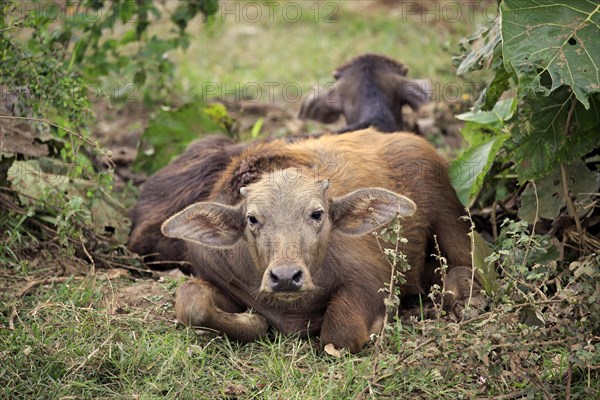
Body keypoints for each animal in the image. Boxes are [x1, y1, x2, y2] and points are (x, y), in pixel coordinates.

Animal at [158, 130, 478, 352]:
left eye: (317, 213)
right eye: (252, 219)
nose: (286, 277)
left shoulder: (371, 280)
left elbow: (339, 334)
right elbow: (191, 302)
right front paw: (253, 321)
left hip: (451, 217)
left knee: (469, 263)